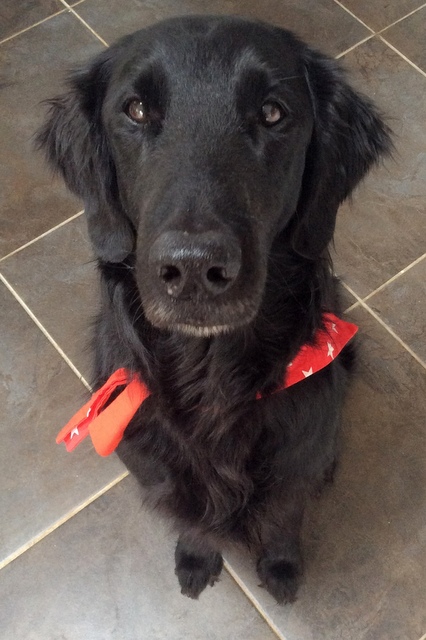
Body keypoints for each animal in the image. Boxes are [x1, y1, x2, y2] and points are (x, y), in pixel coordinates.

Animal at [37, 15, 391, 603]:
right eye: (136, 110)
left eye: (272, 112)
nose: (195, 268)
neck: (212, 379)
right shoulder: (156, 469)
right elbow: (195, 523)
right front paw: (197, 560)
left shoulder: (295, 463)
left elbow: (283, 518)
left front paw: (281, 568)